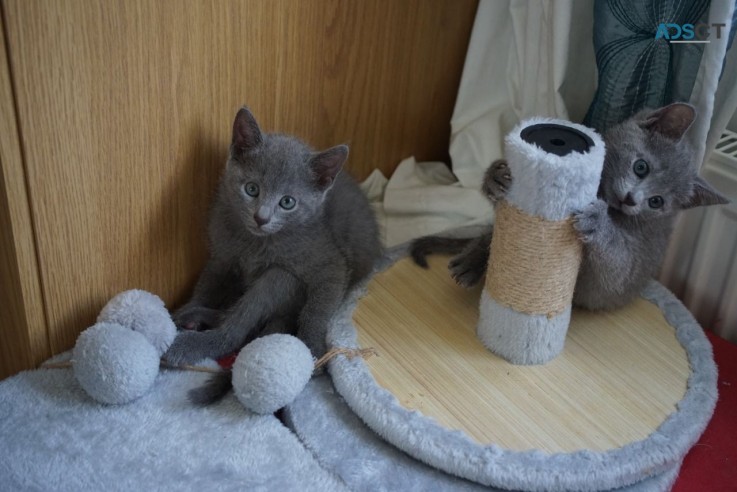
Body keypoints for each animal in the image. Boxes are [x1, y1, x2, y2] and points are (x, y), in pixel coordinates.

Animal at [412, 103, 728, 312]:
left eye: (657, 202)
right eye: (641, 167)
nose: (631, 200)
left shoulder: (628, 263)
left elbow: (614, 265)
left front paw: (598, 221)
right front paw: (496, 177)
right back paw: (473, 258)